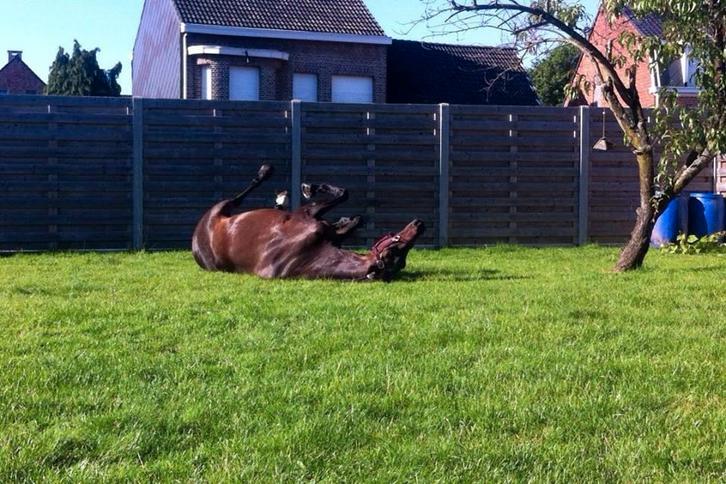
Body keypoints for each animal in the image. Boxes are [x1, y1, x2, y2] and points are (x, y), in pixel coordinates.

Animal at [191, 164, 425, 281]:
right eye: (396, 249)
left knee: (240, 196)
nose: (419, 224)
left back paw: (269, 179)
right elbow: (347, 206)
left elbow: (343, 196)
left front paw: (309, 189)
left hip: (220, 208)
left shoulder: (305, 215)